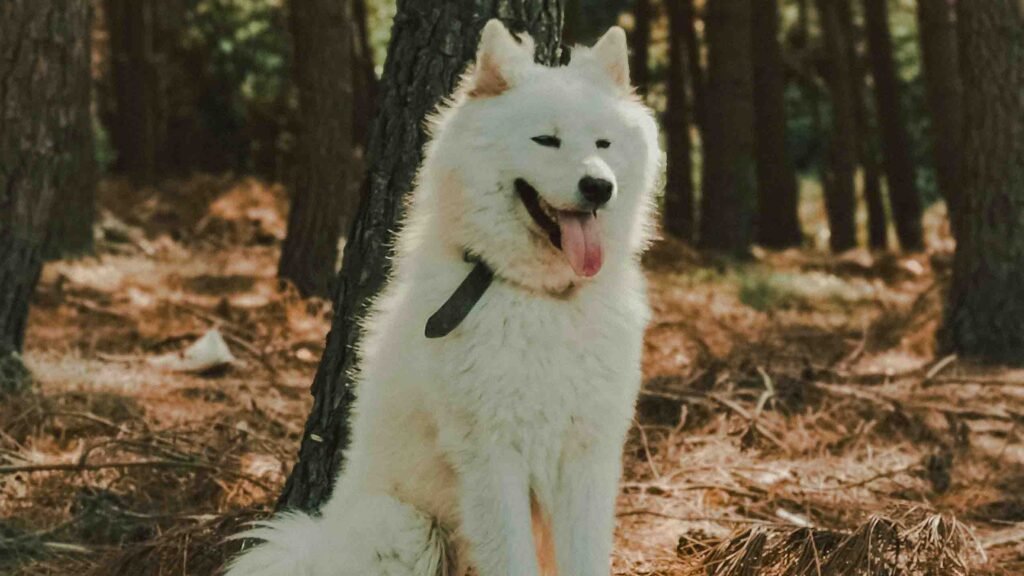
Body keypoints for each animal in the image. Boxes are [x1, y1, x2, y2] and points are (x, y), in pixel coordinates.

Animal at [221, 19, 659, 573]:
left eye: (604, 143)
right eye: (546, 140)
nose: (599, 186)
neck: (540, 297)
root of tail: (317, 546)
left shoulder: (587, 457)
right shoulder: (493, 458)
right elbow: (512, 558)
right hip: (408, 529)